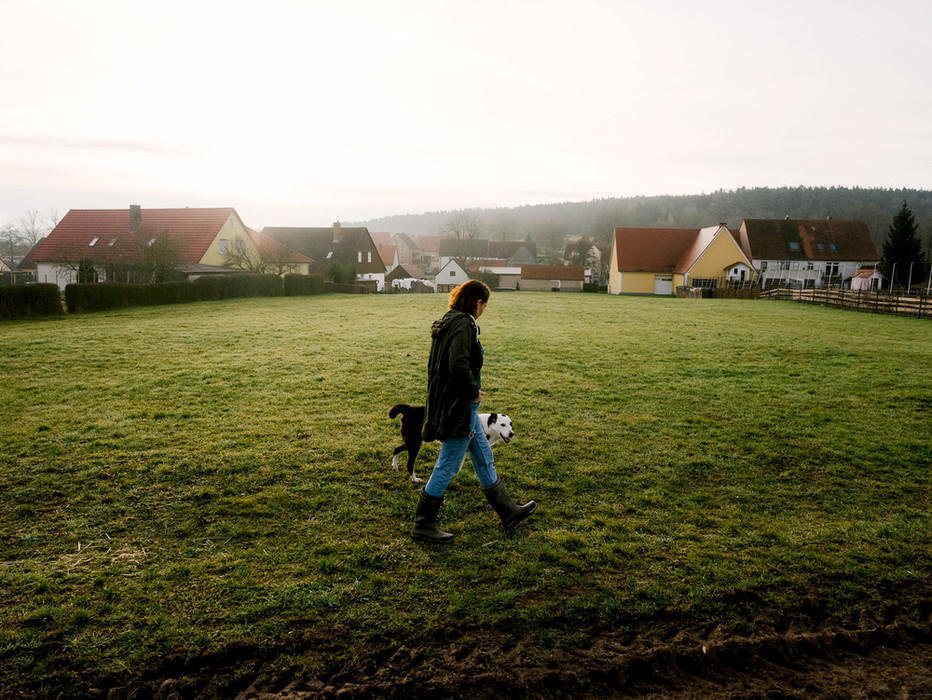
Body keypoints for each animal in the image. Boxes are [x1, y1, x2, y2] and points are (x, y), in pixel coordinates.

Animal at [388, 404, 516, 482]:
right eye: (502, 424)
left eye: (511, 425)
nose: (511, 434)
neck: (486, 426)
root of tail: (409, 409)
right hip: (414, 443)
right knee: (409, 464)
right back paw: (415, 479)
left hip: (411, 442)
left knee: (396, 449)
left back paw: (395, 466)